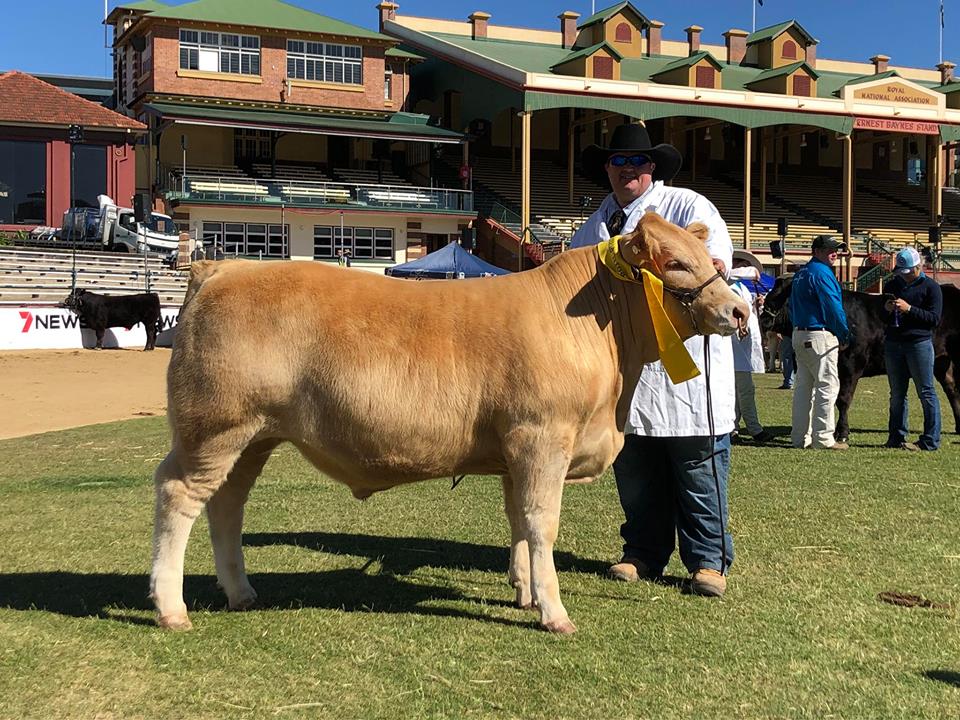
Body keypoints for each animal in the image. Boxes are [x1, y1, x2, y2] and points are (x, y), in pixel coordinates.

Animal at [760, 278, 956, 442]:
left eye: (779, 297)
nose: (763, 318)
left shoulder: (851, 366)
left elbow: (843, 399)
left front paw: (842, 433)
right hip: (941, 363)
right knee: (952, 388)